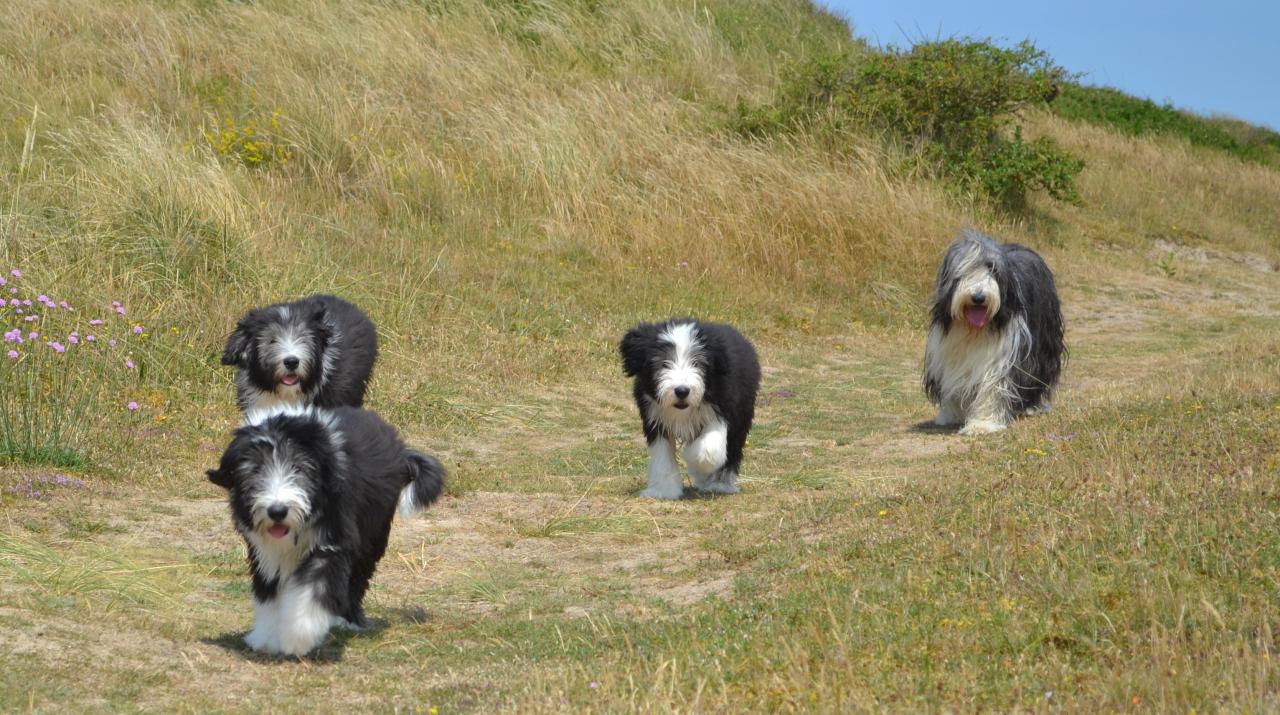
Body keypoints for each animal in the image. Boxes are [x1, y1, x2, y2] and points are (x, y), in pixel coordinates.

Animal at [207, 406, 448, 660]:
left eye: (299, 468)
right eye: (255, 470)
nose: (277, 511)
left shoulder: (332, 544)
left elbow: (314, 589)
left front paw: (297, 636)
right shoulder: (265, 554)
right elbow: (269, 593)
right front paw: (267, 637)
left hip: (373, 532)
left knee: (358, 576)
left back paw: (348, 619)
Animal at [619, 322, 757, 501]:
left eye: (697, 363)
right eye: (664, 363)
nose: (682, 391)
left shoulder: (722, 406)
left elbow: (708, 450)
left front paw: (696, 462)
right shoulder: (654, 417)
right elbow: (662, 456)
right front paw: (663, 491)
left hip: (742, 414)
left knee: (732, 447)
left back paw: (719, 483)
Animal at [926, 228, 1064, 437]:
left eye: (992, 269)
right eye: (966, 269)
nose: (978, 297)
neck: (974, 331)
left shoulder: (1002, 355)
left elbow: (992, 386)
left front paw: (982, 424)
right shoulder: (949, 353)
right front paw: (952, 415)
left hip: (1044, 344)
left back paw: (1031, 406)